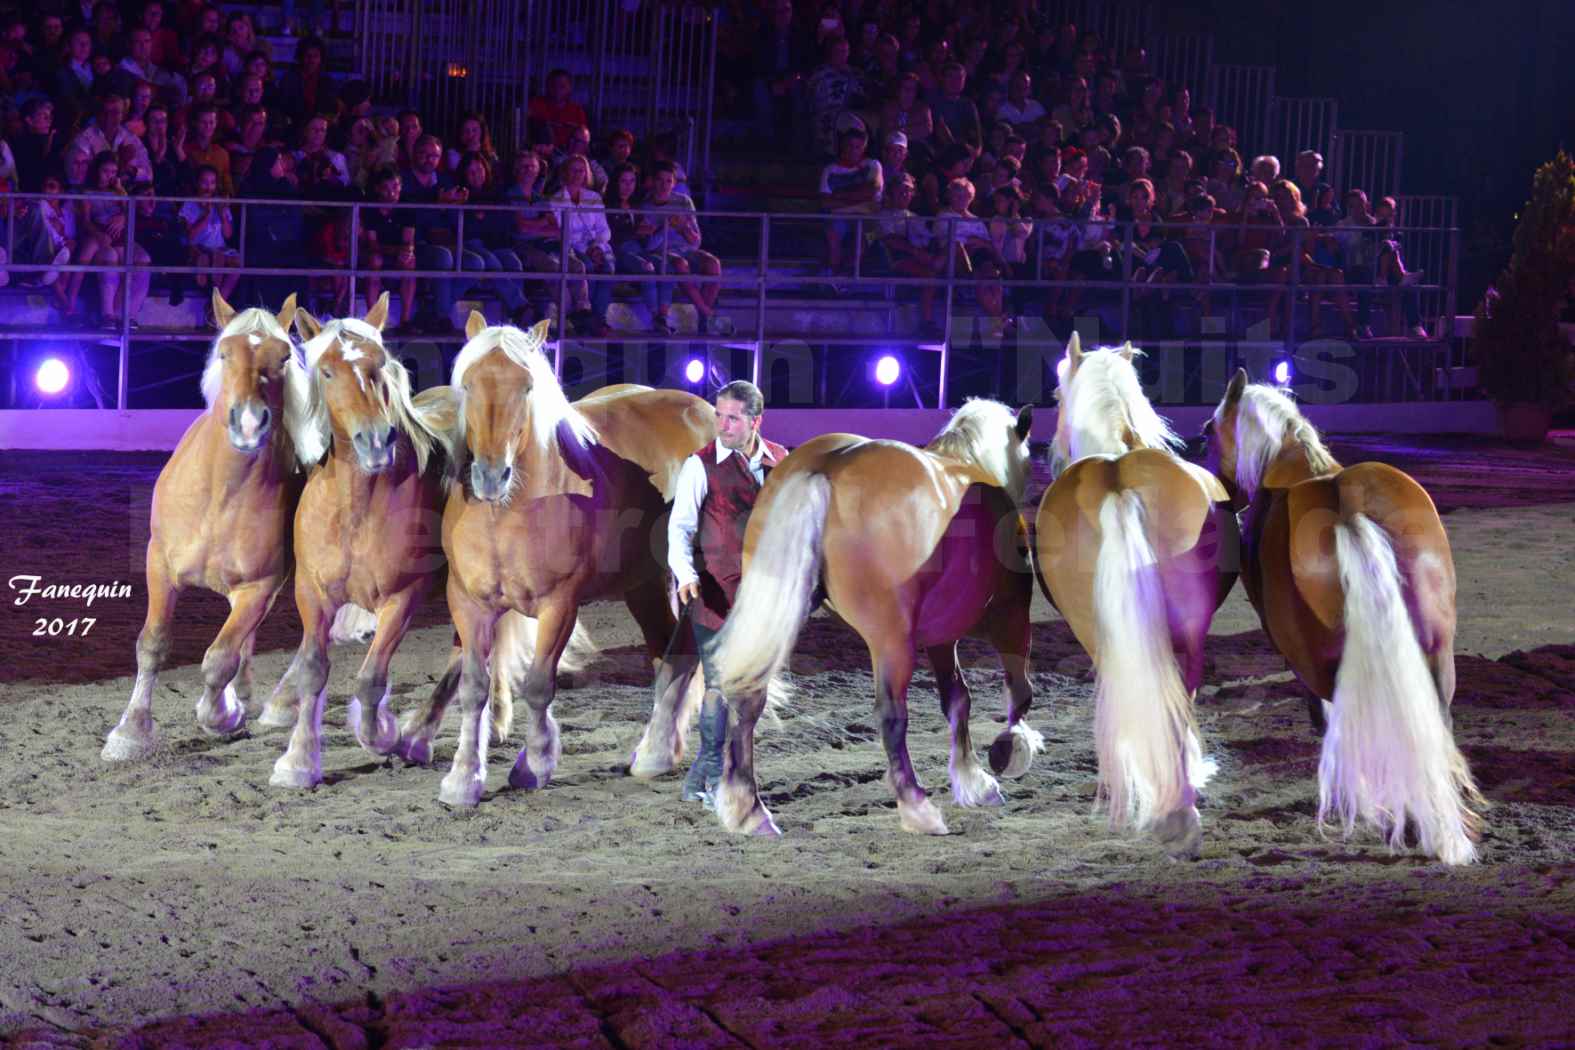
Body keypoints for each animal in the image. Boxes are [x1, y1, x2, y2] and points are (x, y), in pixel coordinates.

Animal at [102, 291, 307, 758]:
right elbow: (152, 645)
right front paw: (131, 732)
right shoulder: (159, 566)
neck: (220, 496)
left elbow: (219, 659)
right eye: (224, 353)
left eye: (284, 356)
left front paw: (222, 714)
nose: (248, 422)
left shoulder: (259, 588)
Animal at [403, 311, 721, 805]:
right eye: (469, 384)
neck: (509, 510)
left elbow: (538, 686)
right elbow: (473, 687)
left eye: (527, 387)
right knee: (667, 653)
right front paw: (463, 778)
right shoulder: (469, 603)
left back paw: (656, 754)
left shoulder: (559, 605)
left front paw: (533, 765)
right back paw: (658, 750)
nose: (491, 476)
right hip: (644, 585)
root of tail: (703, 411)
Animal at [708, 399, 1039, 837]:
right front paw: (1010, 751)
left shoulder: (941, 638)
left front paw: (972, 779)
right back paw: (917, 806)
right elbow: (1018, 692)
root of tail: (828, 465)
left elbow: (957, 700)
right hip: (891, 641)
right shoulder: (1011, 615)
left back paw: (749, 810)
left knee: (749, 697)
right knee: (891, 715)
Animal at [1197, 369, 1480, 862]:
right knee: (1432, 727)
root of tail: (1349, 511)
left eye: (1209, 433)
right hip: (1437, 656)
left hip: (1324, 664)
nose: (1219, 494)